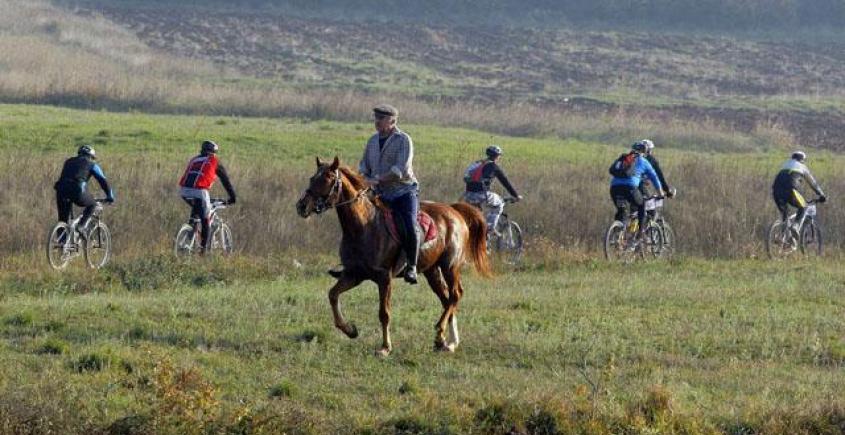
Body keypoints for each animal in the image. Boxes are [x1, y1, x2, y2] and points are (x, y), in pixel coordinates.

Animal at [296, 157, 492, 358]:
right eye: (313, 178)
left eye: (327, 179)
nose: (302, 206)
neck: (364, 226)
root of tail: (454, 211)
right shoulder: (354, 275)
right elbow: (333, 295)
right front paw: (350, 330)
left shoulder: (384, 278)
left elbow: (384, 313)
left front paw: (385, 347)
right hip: (432, 271)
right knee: (446, 300)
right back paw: (445, 341)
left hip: (450, 267)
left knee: (455, 295)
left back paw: (443, 334)